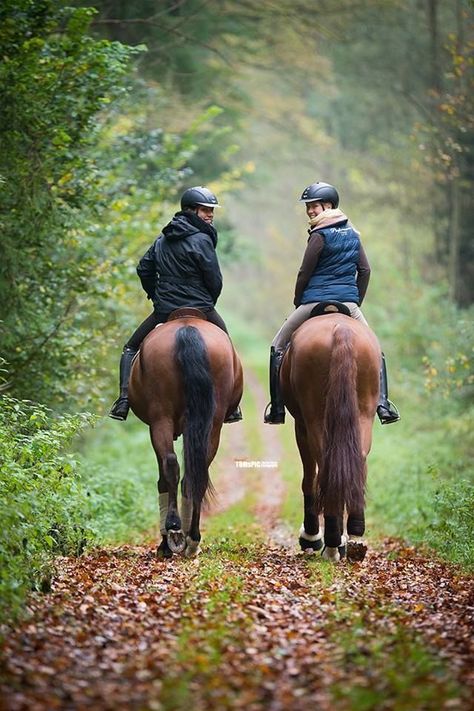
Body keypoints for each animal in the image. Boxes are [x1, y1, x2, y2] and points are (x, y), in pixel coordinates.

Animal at [128, 308, 243, 560]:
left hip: (160, 417)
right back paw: (192, 539)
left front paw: (165, 543)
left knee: (171, 466)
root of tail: (187, 327)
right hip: (212, 423)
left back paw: (175, 531)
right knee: (196, 474)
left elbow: (162, 479)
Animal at [280, 308, 380, 564]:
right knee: (358, 461)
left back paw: (332, 545)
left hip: (315, 419)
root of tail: (340, 329)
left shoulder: (301, 426)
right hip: (363, 414)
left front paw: (311, 536)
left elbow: (309, 479)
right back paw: (354, 538)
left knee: (324, 468)